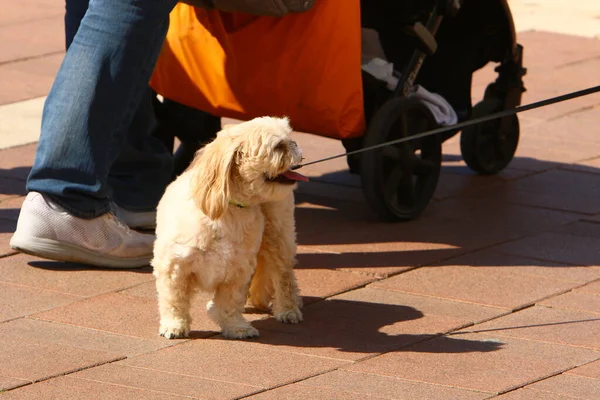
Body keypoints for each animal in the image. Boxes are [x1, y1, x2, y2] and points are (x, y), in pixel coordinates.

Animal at [152, 117, 308, 340]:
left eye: (290, 139)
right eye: (279, 146)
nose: (295, 144)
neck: (230, 208)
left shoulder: (237, 268)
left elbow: (229, 302)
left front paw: (236, 326)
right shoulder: (174, 266)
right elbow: (174, 300)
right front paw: (175, 325)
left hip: (278, 235)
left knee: (283, 274)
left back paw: (288, 308)